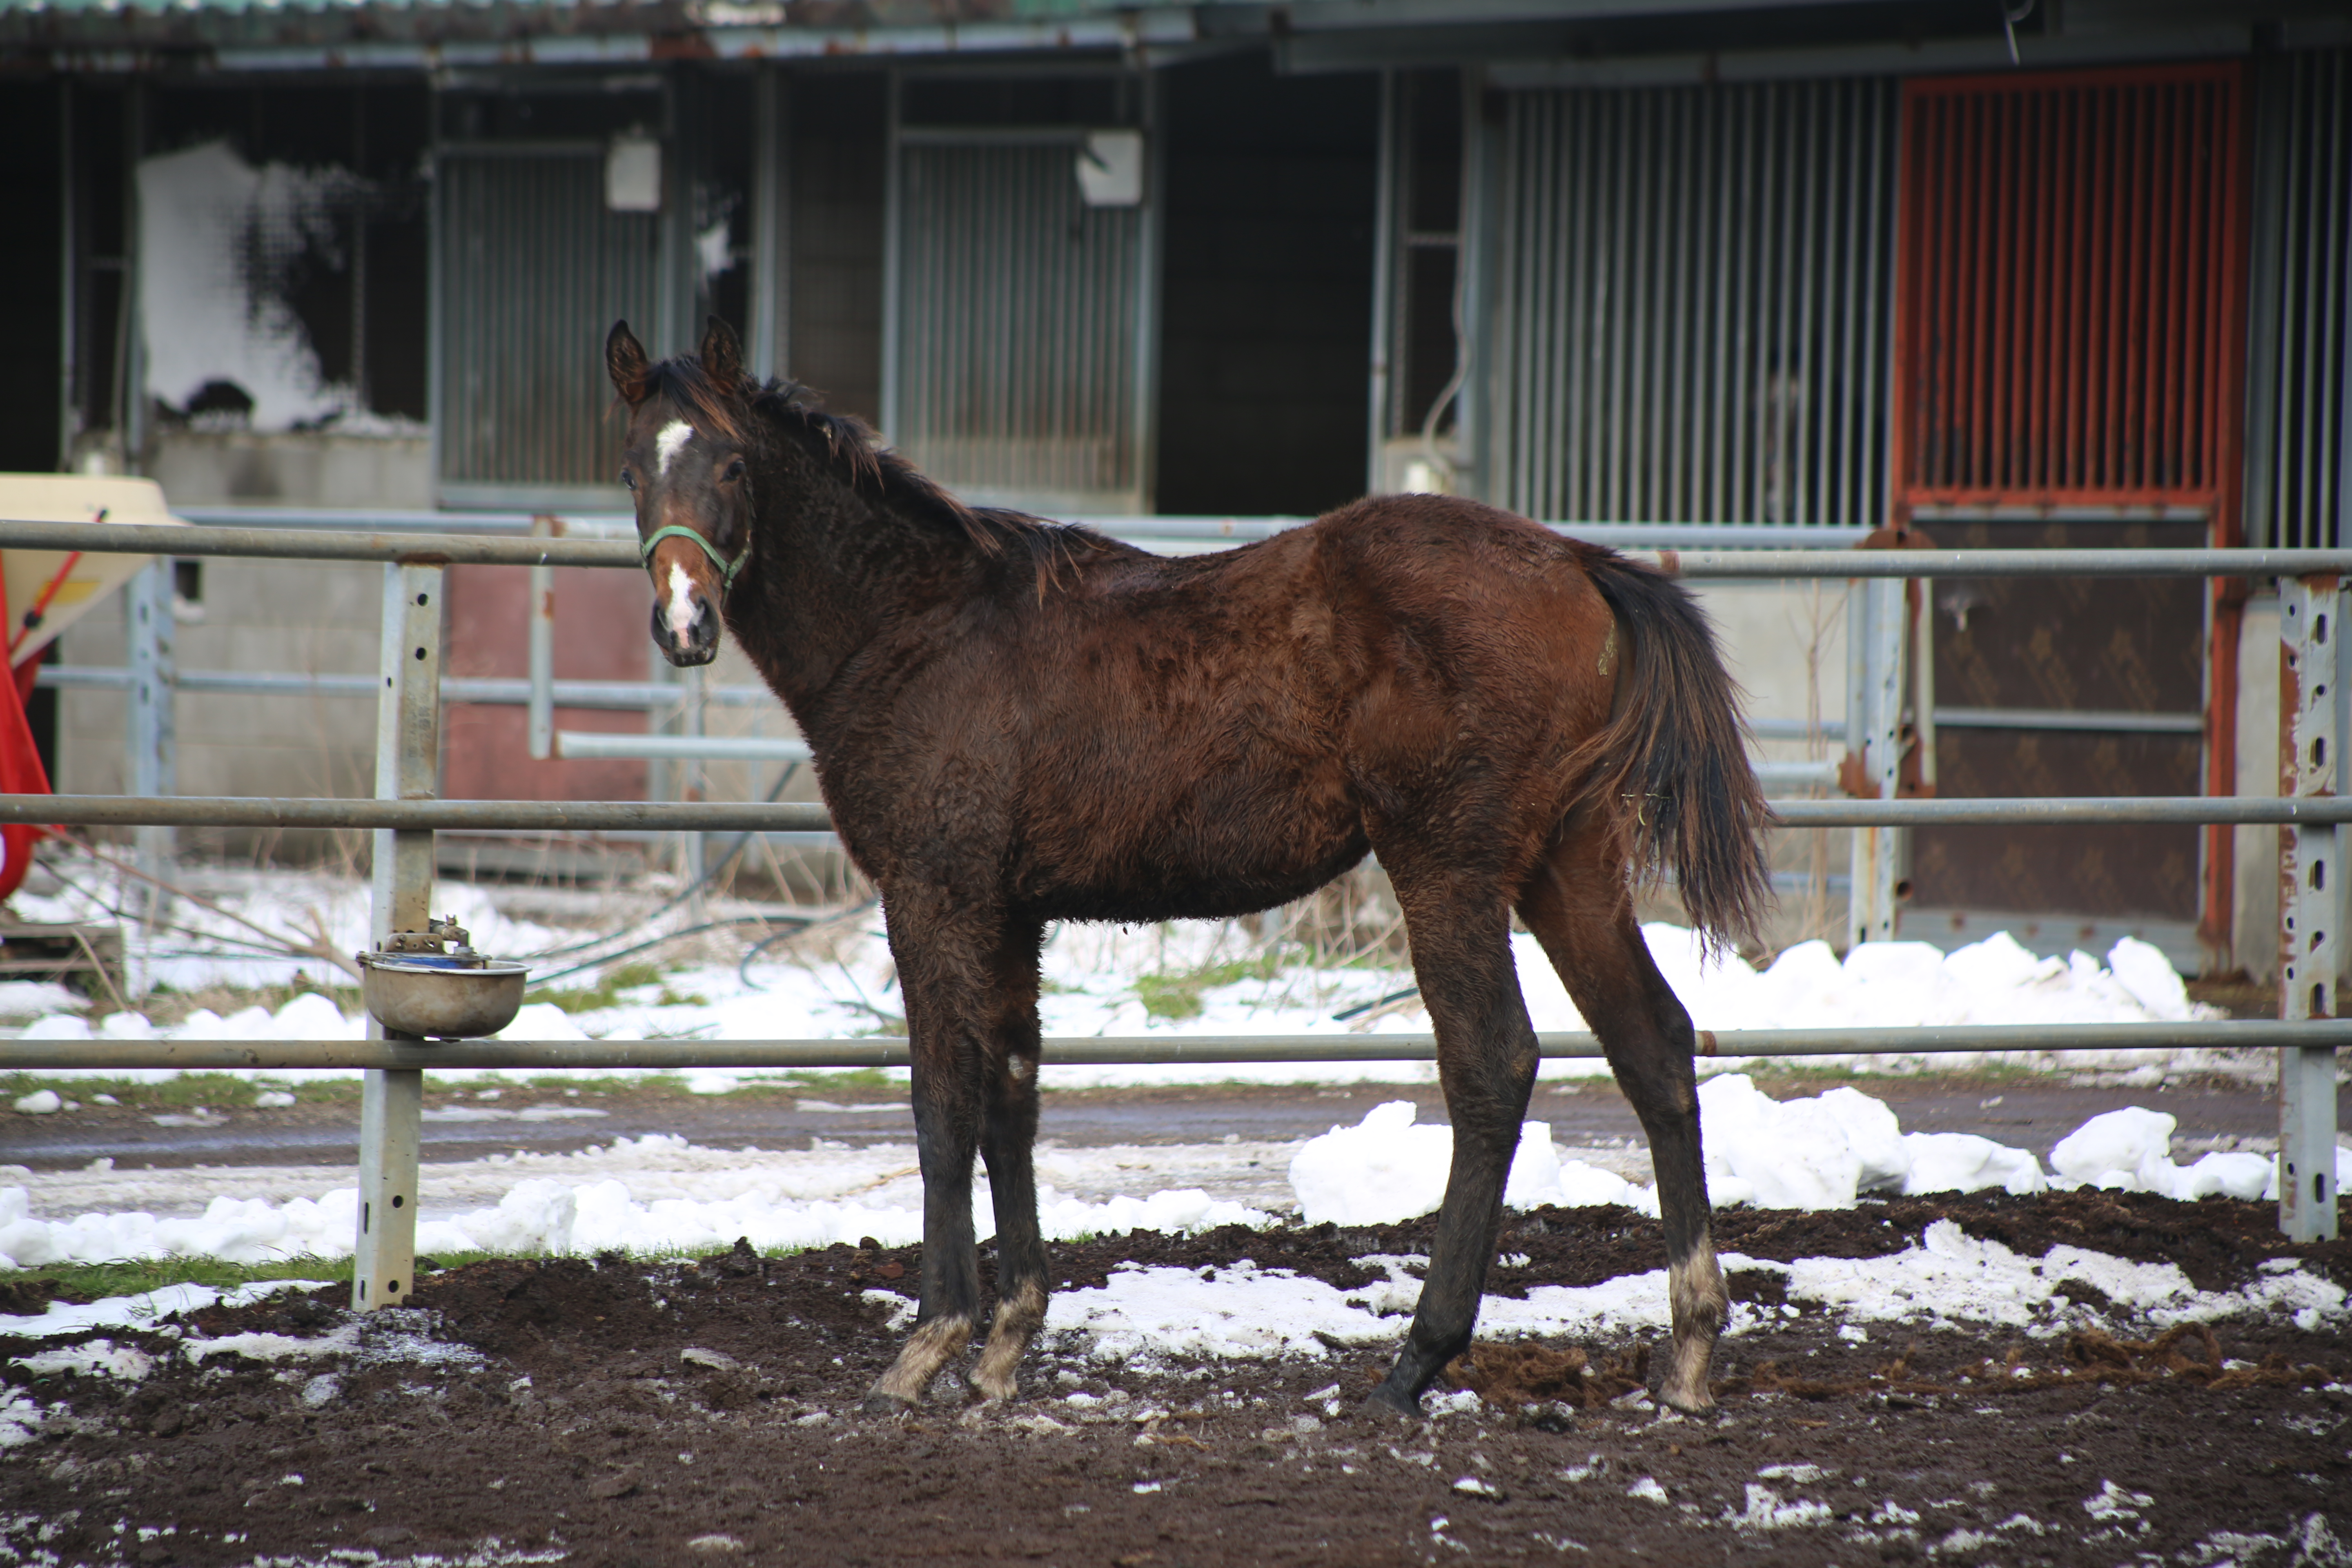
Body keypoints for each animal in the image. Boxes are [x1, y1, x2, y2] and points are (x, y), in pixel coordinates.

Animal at [607, 322, 1768, 1420]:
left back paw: (1415, 1362)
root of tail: (1577, 561)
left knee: (1492, 1063)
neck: (919, 628)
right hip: (1566, 864)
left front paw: (927, 1346)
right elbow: (1011, 1097)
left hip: (1448, 865)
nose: (684, 622)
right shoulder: (1009, 912)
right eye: (630, 470)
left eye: (732, 465)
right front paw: (1005, 1348)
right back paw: (1688, 1350)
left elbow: (942, 1104)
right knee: (1653, 1044)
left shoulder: (934, 892)